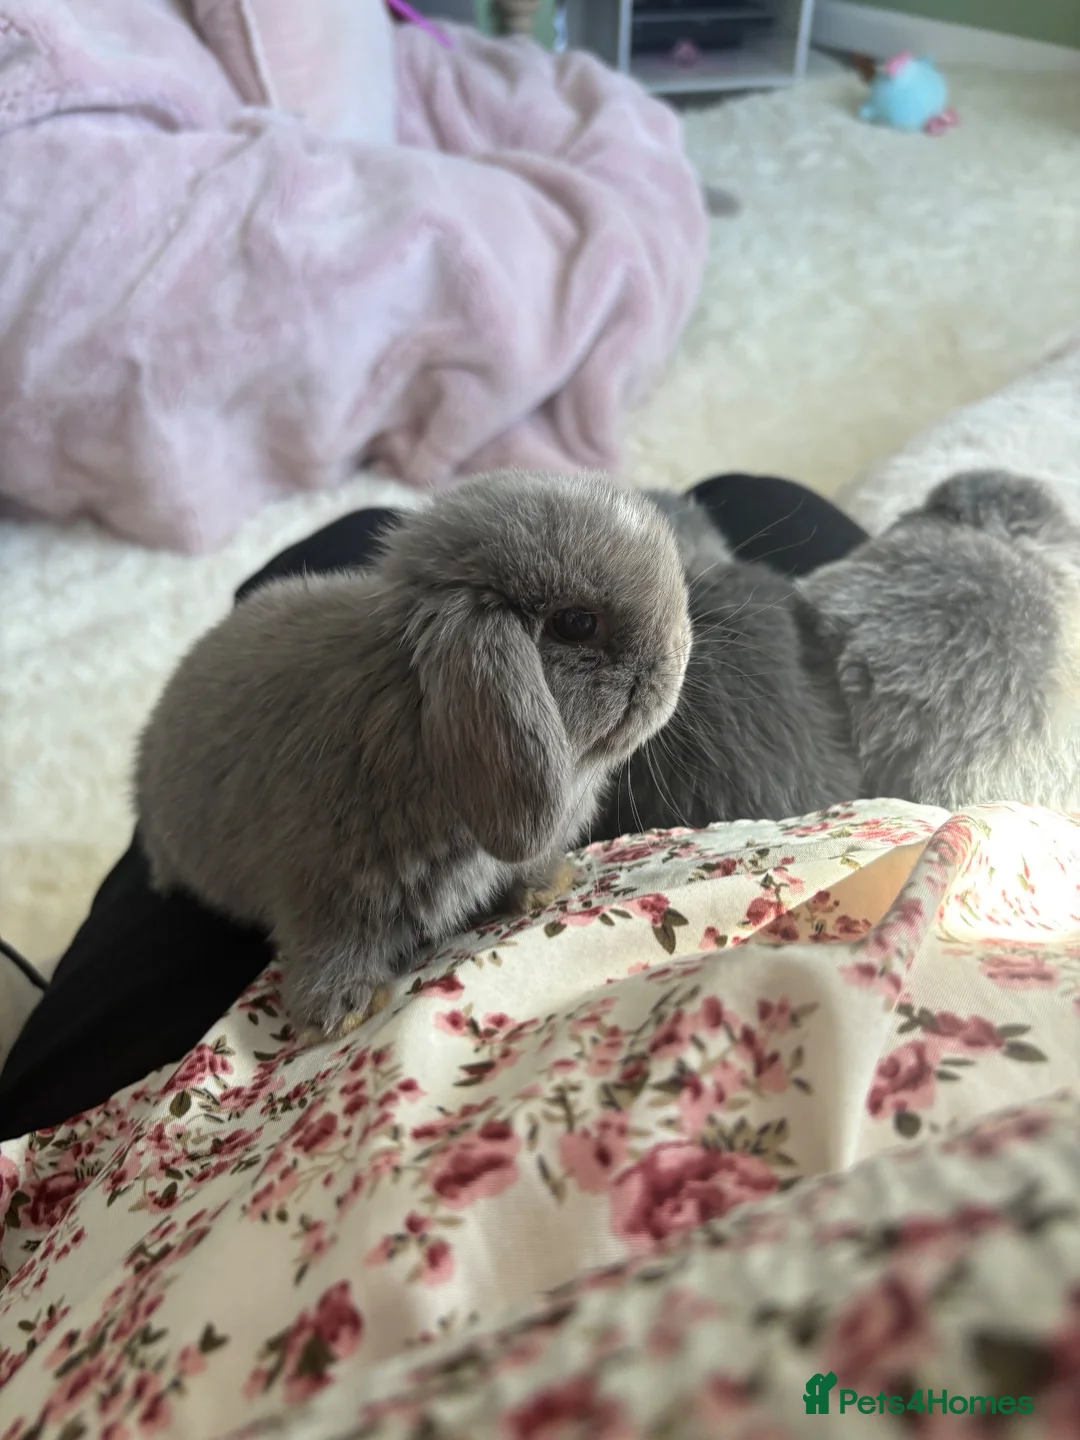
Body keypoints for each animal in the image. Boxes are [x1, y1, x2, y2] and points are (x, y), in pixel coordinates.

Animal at [135, 470, 691, 1039]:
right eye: (576, 624)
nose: (679, 658)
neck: (412, 713)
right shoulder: (322, 894)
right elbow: (329, 950)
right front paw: (343, 1011)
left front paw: (547, 887)